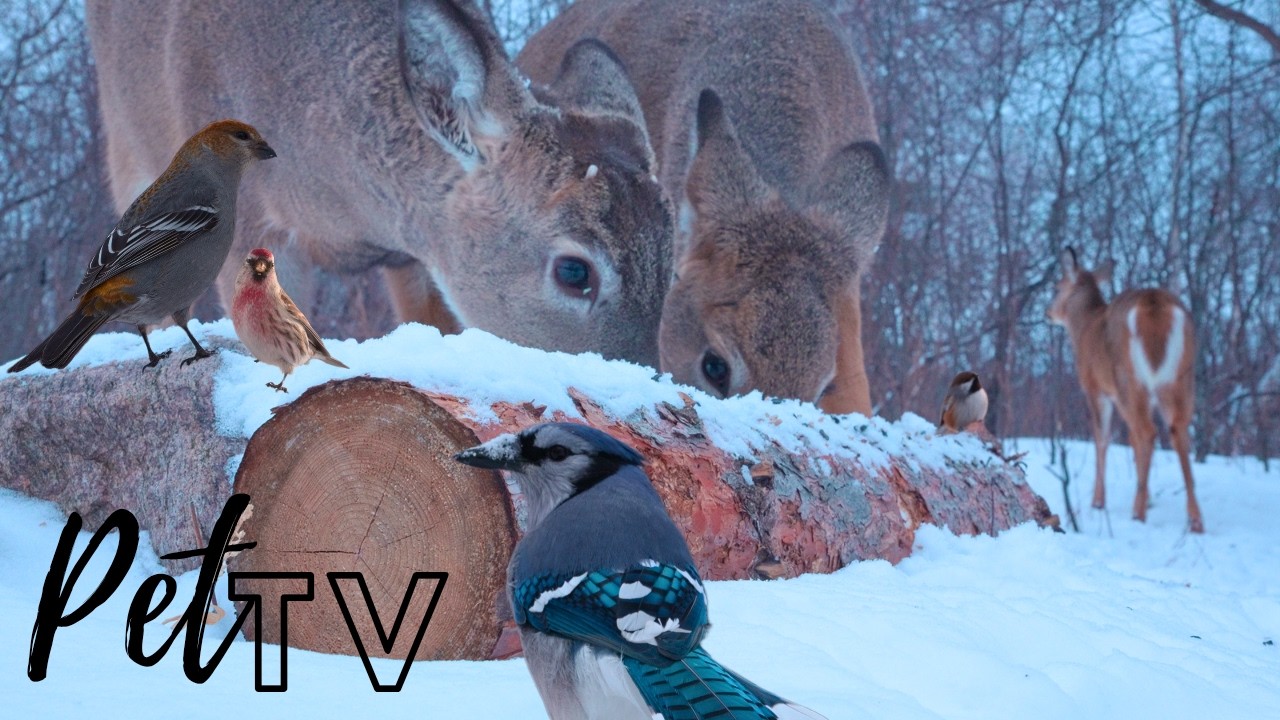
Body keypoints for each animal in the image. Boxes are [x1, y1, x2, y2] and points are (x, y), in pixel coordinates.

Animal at [1047, 247, 1204, 533]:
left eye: (1056, 286)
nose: (1047, 312)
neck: (1085, 326)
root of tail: (1155, 305)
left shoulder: (1096, 388)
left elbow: (1103, 439)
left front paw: (1098, 501)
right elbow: (1131, 439)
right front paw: (1149, 495)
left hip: (1129, 377)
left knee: (1148, 431)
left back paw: (1138, 512)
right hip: (1181, 377)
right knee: (1178, 431)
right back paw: (1195, 520)